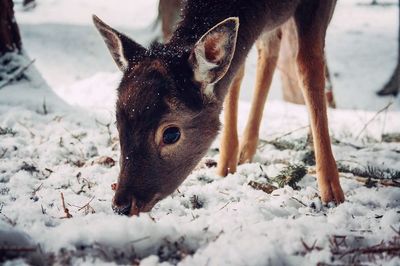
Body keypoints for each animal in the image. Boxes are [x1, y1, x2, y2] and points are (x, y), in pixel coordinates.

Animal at [93, 0, 344, 216]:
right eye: (118, 123)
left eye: (171, 133)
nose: (122, 205)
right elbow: (236, 72)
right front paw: (225, 166)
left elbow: (309, 65)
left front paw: (332, 191)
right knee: (268, 50)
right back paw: (245, 150)